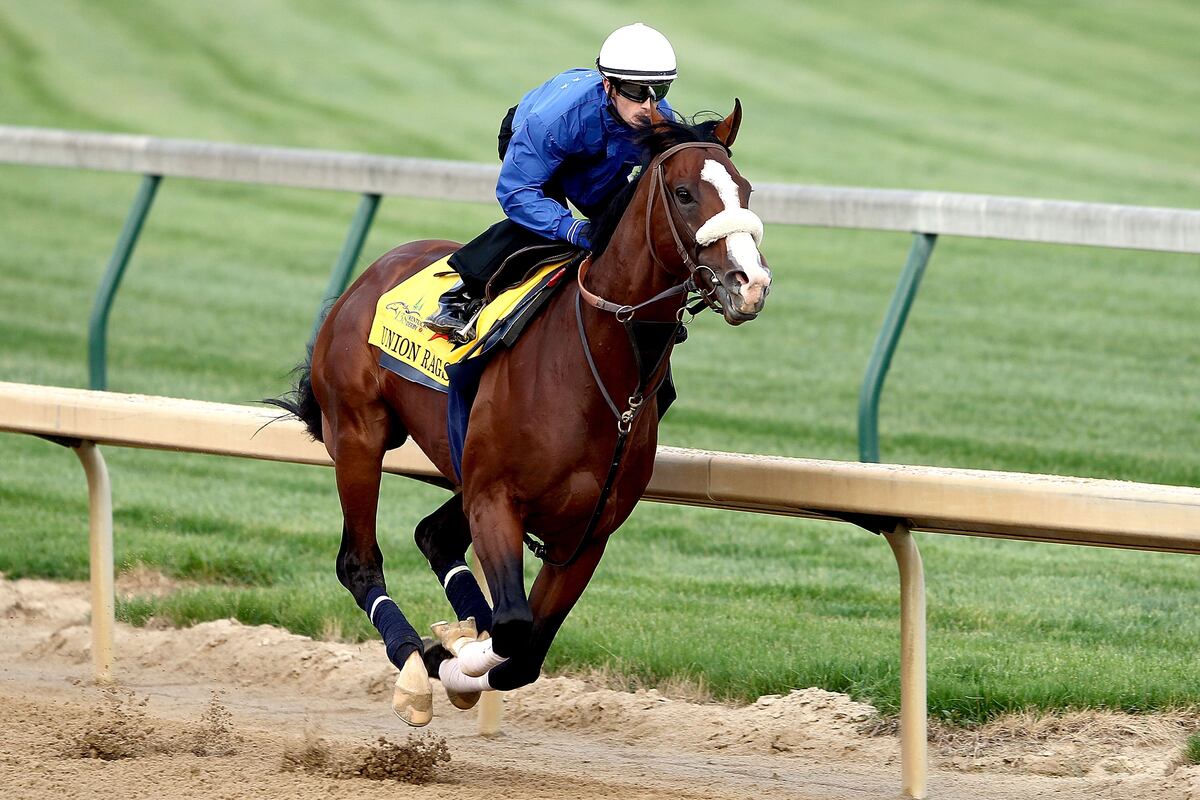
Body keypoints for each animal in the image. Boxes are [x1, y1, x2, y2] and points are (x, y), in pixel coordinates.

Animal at [270, 101, 771, 725]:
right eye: (683, 194)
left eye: (745, 190)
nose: (750, 283)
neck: (595, 369)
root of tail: (369, 275)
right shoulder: (495, 499)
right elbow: (511, 627)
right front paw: (449, 658)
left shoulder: (584, 535)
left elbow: (525, 652)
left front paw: (458, 649)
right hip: (360, 434)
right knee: (359, 561)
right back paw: (412, 663)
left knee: (434, 535)